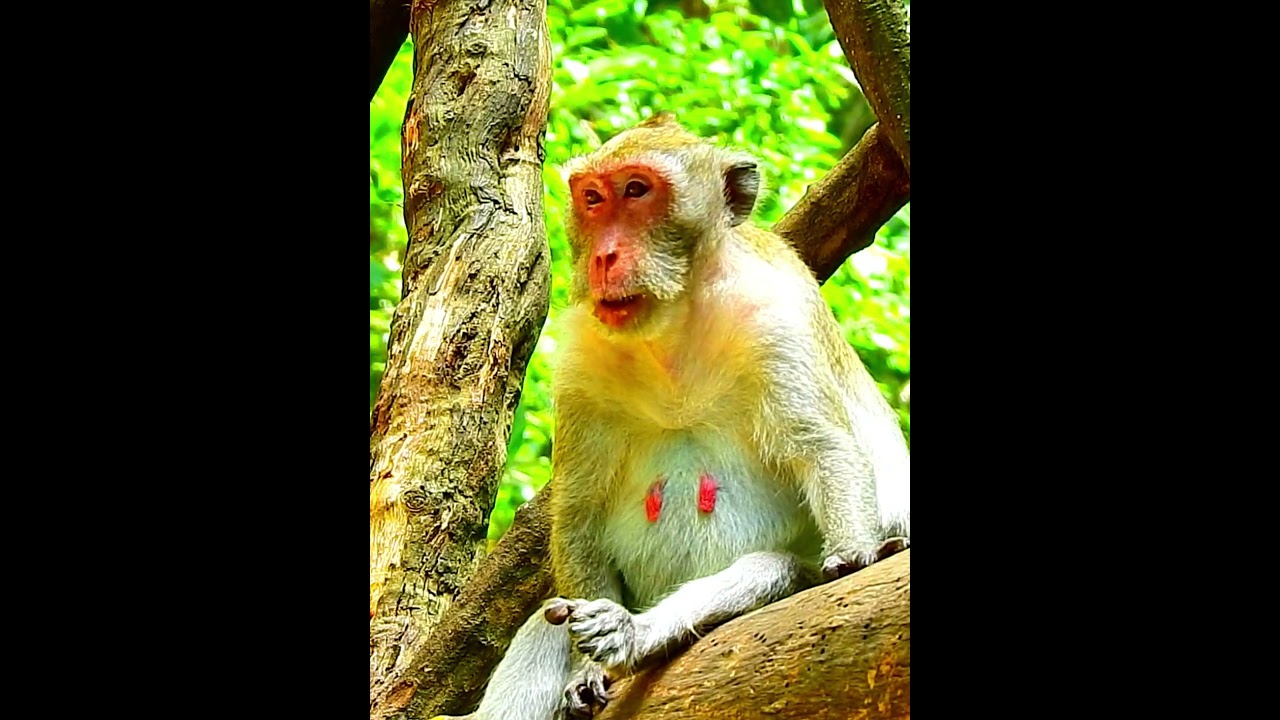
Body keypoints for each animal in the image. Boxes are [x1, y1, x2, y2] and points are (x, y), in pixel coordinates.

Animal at [435, 113, 910, 720]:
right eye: (592, 198)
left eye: (638, 190)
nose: (604, 256)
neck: (673, 327)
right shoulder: (581, 356)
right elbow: (580, 511)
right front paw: (587, 669)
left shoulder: (776, 317)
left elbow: (821, 447)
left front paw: (854, 554)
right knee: (548, 621)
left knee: (771, 568)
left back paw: (632, 636)